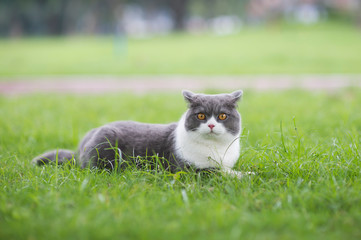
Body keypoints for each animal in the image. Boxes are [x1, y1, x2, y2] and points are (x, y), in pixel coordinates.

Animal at [32, 90, 248, 178]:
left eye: (222, 116)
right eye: (201, 115)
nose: (211, 125)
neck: (215, 148)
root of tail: (79, 149)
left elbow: (224, 169)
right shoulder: (184, 169)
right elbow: (217, 171)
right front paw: (247, 175)